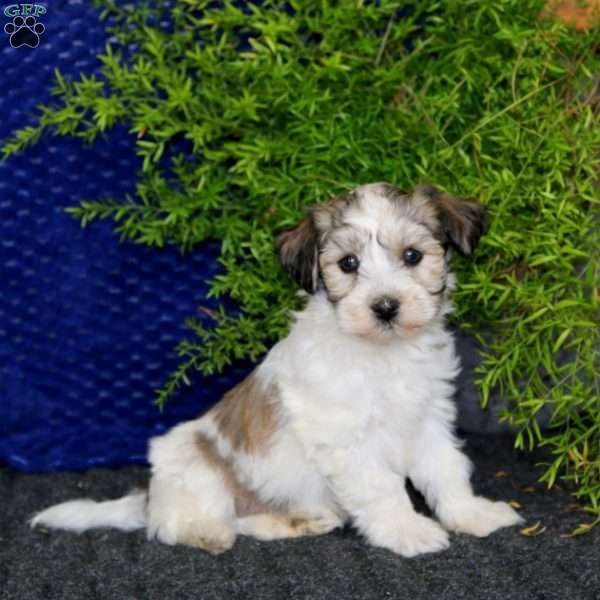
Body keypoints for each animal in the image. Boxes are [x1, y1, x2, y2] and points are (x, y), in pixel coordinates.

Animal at [30, 184, 524, 556]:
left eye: (412, 256)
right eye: (348, 264)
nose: (385, 307)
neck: (383, 353)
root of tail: (151, 498)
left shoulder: (427, 420)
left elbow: (446, 468)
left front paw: (471, 513)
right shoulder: (347, 439)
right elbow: (382, 487)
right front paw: (408, 530)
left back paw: (301, 520)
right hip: (196, 464)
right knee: (192, 523)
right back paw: (211, 531)